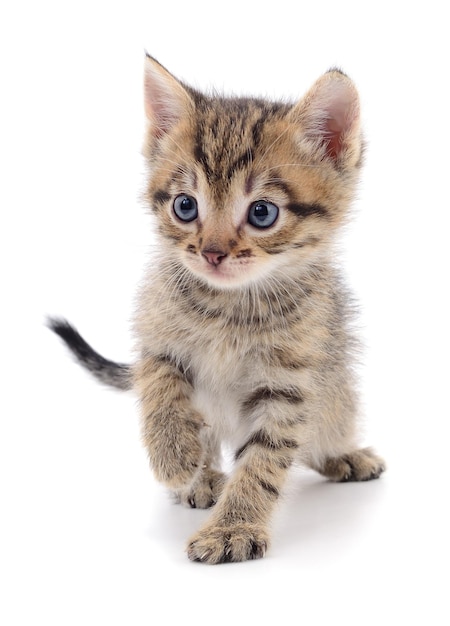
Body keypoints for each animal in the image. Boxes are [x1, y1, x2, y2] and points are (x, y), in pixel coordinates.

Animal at [49, 53, 384, 560]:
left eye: (262, 213)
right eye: (185, 206)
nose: (211, 253)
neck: (229, 305)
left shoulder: (289, 385)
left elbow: (264, 461)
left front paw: (233, 527)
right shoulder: (156, 334)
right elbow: (159, 386)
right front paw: (173, 456)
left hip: (337, 393)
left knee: (320, 434)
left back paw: (341, 455)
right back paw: (200, 476)